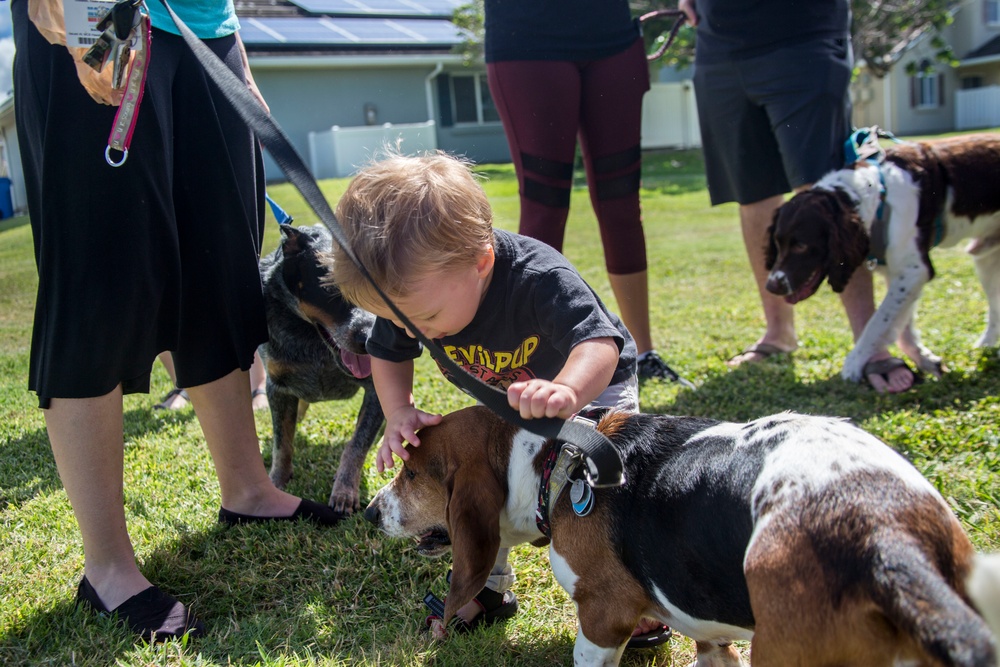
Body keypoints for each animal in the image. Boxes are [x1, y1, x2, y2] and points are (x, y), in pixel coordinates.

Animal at [364, 408, 1000, 667]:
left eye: (412, 474)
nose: (370, 513)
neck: (551, 463)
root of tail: (883, 531)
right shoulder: (711, 637)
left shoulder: (604, 617)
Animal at [764, 133, 1000, 384]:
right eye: (777, 242)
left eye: (801, 245)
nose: (771, 287)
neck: (876, 198)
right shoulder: (898, 272)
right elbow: (901, 325)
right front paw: (924, 358)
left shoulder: (913, 269)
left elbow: (879, 321)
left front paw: (854, 362)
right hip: (987, 259)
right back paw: (984, 346)